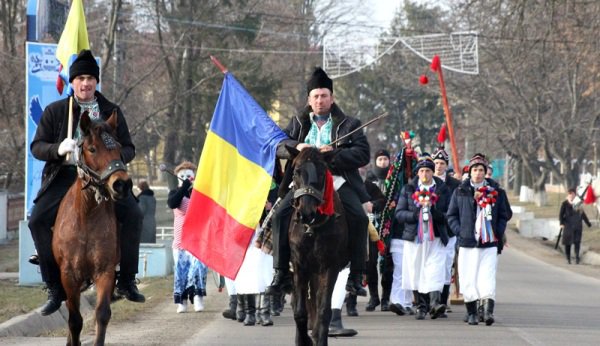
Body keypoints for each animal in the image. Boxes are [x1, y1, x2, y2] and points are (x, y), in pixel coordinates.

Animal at [52, 111, 131, 346]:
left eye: (118, 146)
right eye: (92, 148)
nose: (122, 185)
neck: (86, 216)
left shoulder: (105, 271)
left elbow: (102, 314)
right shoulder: (69, 275)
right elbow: (75, 320)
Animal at [288, 147, 350, 346]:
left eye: (322, 172)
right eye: (296, 171)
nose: (306, 213)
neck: (312, 229)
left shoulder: (329, 267)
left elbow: (324, 310)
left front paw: (318, 338)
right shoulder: (299, 266)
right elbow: (300, 311)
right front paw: (303, 340)